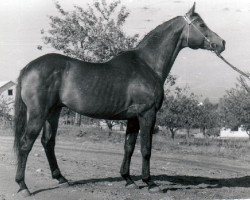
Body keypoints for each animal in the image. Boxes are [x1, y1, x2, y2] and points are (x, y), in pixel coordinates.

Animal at [13, 3, 225, 197]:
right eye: (201, 24)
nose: (222, 43)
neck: (146, 64)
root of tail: (28, 68)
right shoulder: (147, 114)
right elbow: (146, 148)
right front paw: (150, 182)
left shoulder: (133, 117)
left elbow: (128, 147)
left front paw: (128, 179)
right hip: (38, 113)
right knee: (25, 144)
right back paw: (23, 186)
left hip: (53, 112)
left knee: (48, 142)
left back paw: (61, 179)